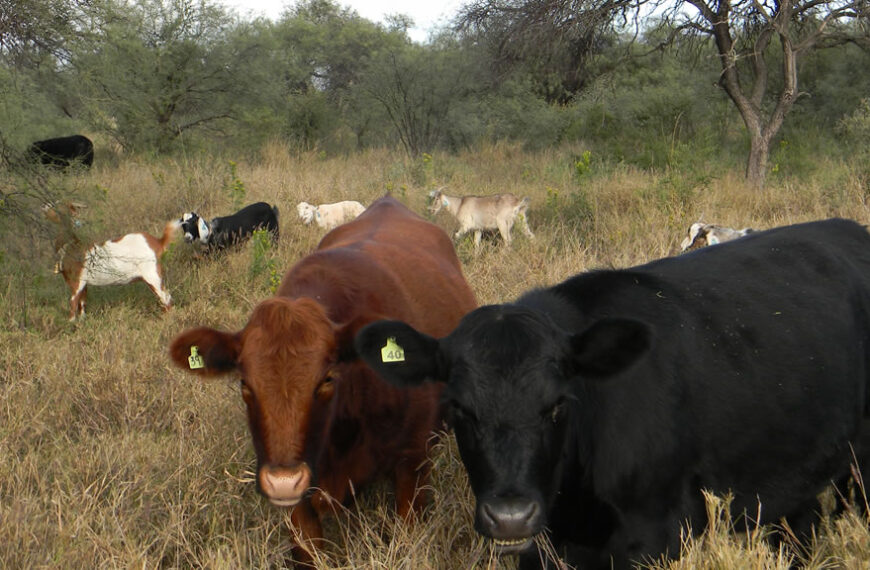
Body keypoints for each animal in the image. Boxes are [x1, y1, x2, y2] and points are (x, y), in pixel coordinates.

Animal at [46, 204, 181, 320]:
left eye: (57, 208)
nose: (46, 206)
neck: (70, 246)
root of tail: (158, 242)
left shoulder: (76, 281)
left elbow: (73, 303)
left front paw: (71, 323)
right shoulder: (84, 282)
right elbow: (82, 303)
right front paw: (83, 320)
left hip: (152, 275)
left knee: (167, 297)